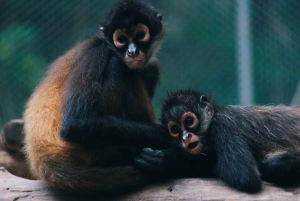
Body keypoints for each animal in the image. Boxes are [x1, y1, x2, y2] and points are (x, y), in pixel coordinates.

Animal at [1, 0, 172, 192]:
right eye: (121, 40)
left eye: (140, 35)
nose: (133, 51)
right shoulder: (97, 50)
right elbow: (76, 124)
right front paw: (166, 135)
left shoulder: (150, 68)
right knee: (117, 64)